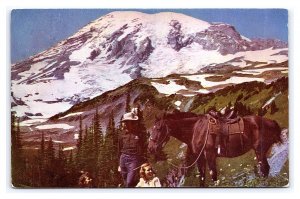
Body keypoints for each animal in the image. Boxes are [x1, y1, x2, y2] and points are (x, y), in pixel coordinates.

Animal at [149, 112, 282, 187]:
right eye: (151, 130)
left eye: (159, 128)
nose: (150, 148)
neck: (195, 130)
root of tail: (270, 121)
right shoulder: (200, 158)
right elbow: (202, 178)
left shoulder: (210, 156)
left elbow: (213, 176)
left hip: (260, 151)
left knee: (264, 168)